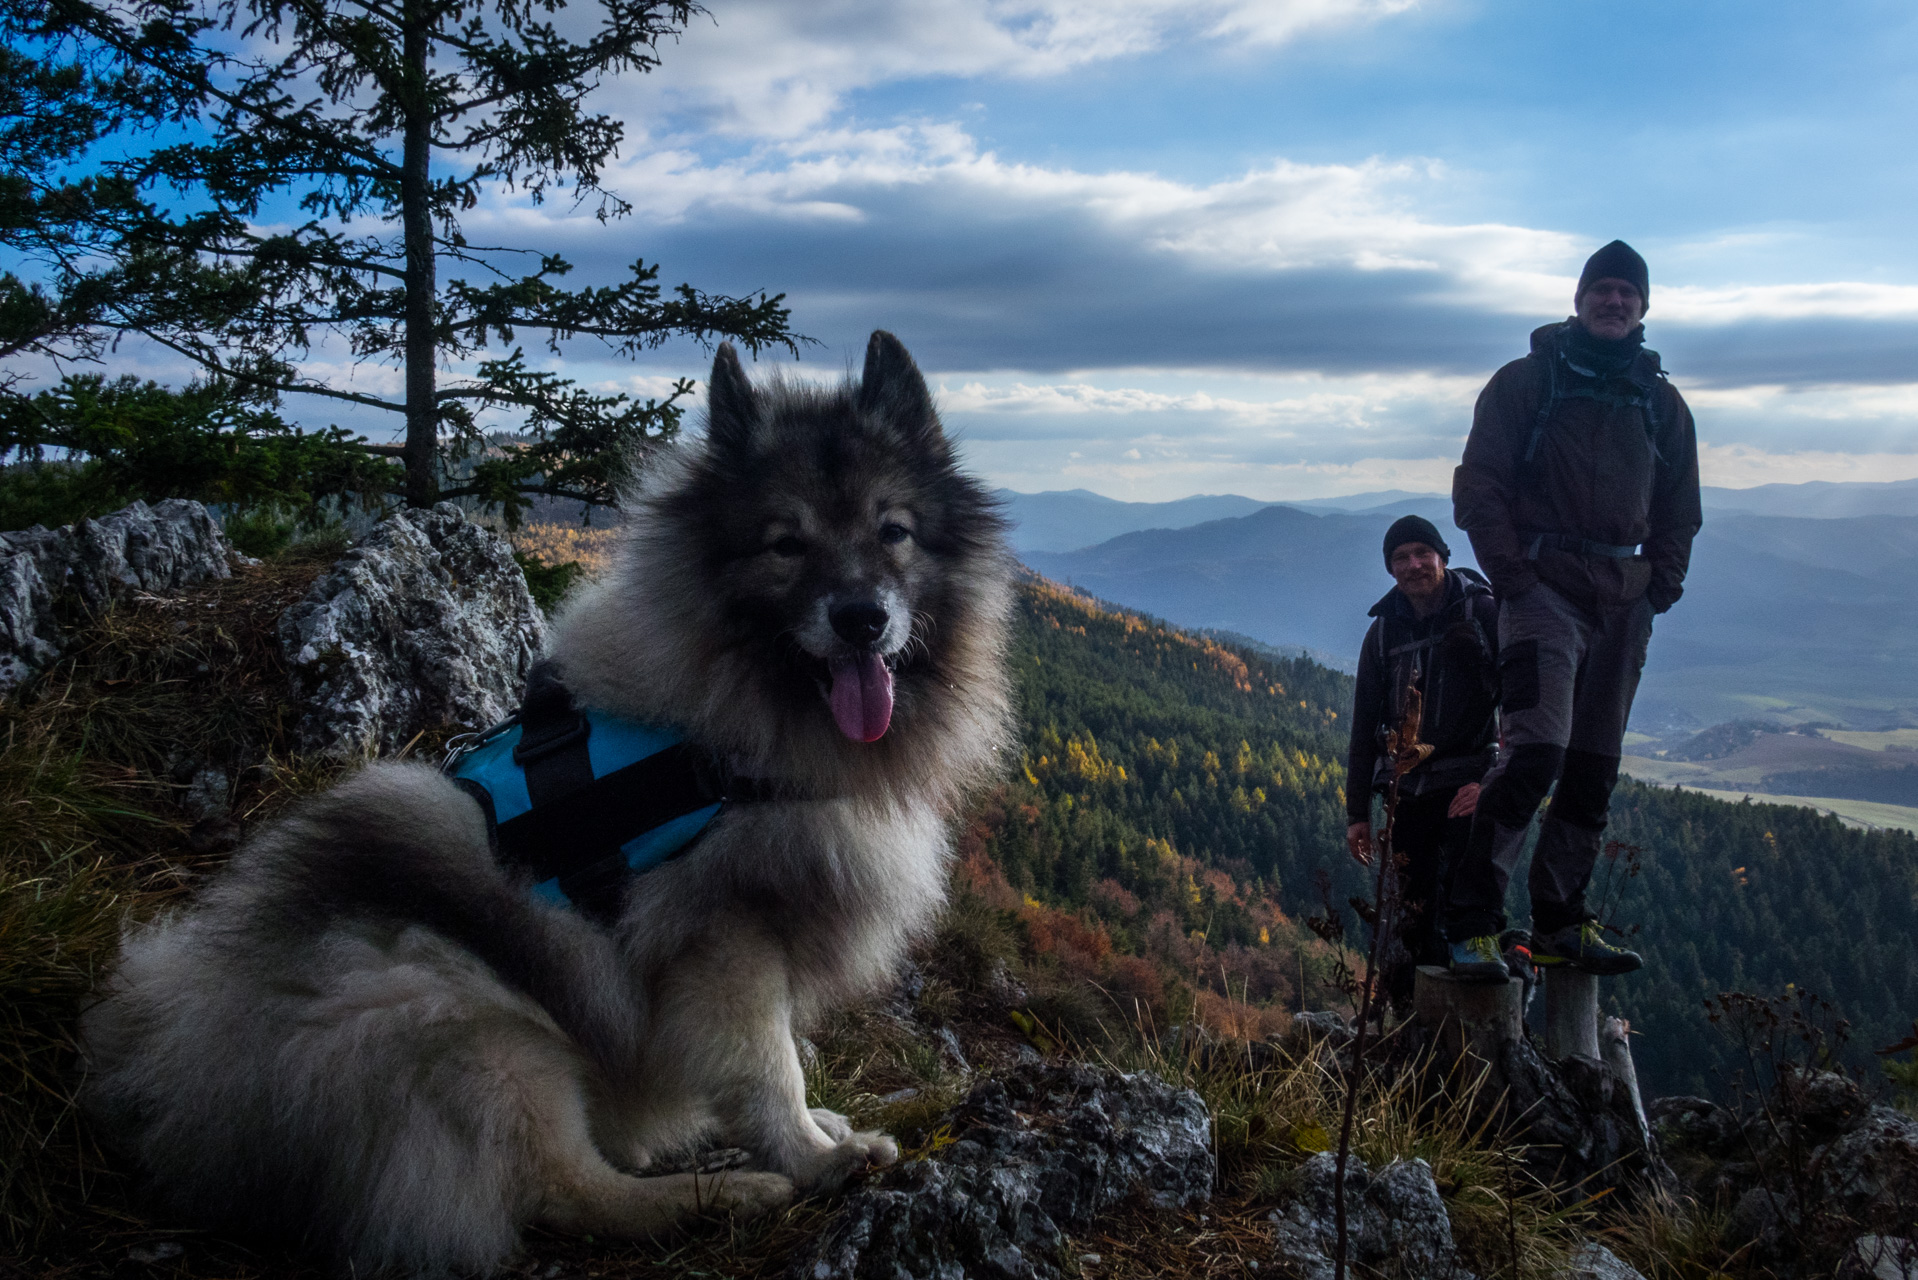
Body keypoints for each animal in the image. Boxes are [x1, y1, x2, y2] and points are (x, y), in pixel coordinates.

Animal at [82, 330, 1020, 1274]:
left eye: (893, 531)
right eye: (785, 544)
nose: (862, 618)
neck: (732, 727)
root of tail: (188, 1095)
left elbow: (776, 1050)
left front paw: (814, 1131)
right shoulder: (722, 939)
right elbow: (765, 1066)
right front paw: (812, 1158)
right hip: (467, 1022)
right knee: (568, 1191)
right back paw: (719, 1195)